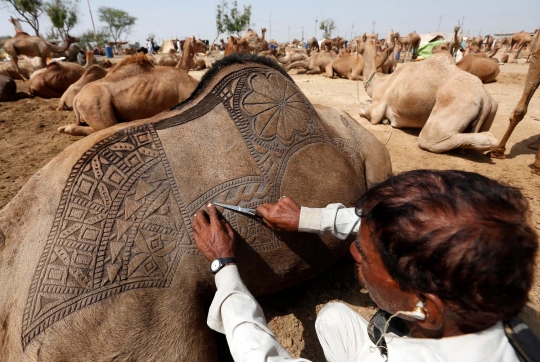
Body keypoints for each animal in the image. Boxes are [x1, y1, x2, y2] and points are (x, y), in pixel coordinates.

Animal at [358, 33, 498, 153]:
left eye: (357, 40)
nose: (355, 47)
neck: (379, 83)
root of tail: (485, 97)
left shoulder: (377, 108)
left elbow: (363, 112)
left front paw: (383, 119)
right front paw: (386, 120)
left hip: (455, 104)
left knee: (430, 139)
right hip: (493, 108)